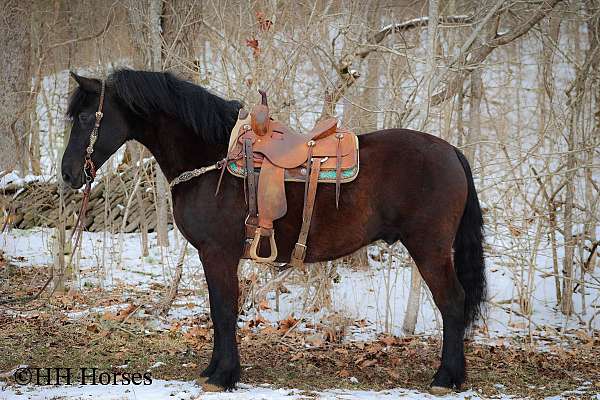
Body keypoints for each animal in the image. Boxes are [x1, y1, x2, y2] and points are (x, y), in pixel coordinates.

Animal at [61, 69, 486, 394]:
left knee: (453, 302)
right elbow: (220, 310)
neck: (212, 158)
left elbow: (223, 309)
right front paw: (215, 369)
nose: (68, 174)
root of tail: (452, 152)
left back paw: (446, 378)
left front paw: (223, 375)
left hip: (430, 250)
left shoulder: (218, 253)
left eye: (84, 118)